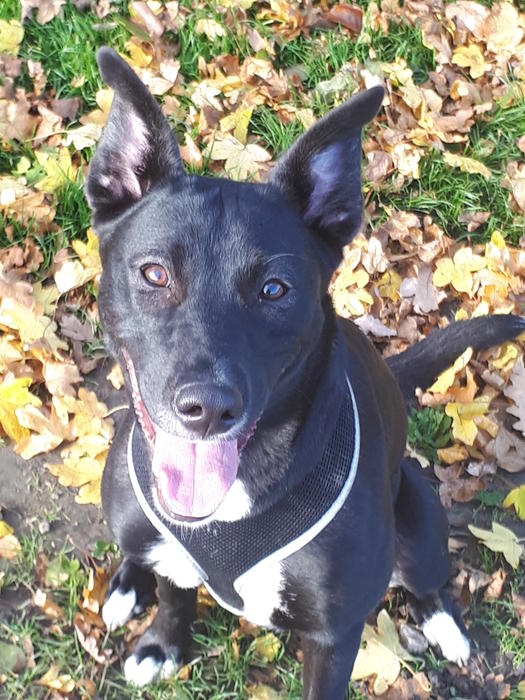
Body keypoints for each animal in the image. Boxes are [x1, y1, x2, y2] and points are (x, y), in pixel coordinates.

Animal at [86, 46, 524, 696]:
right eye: (155, 274)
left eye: (275, 289)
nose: (207, 409)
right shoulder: (167, 544)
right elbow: (174, 591)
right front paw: (162, 642)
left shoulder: (335, 635)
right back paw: (125, 584)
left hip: (421, 516)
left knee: (427, 579)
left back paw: (443, 623)